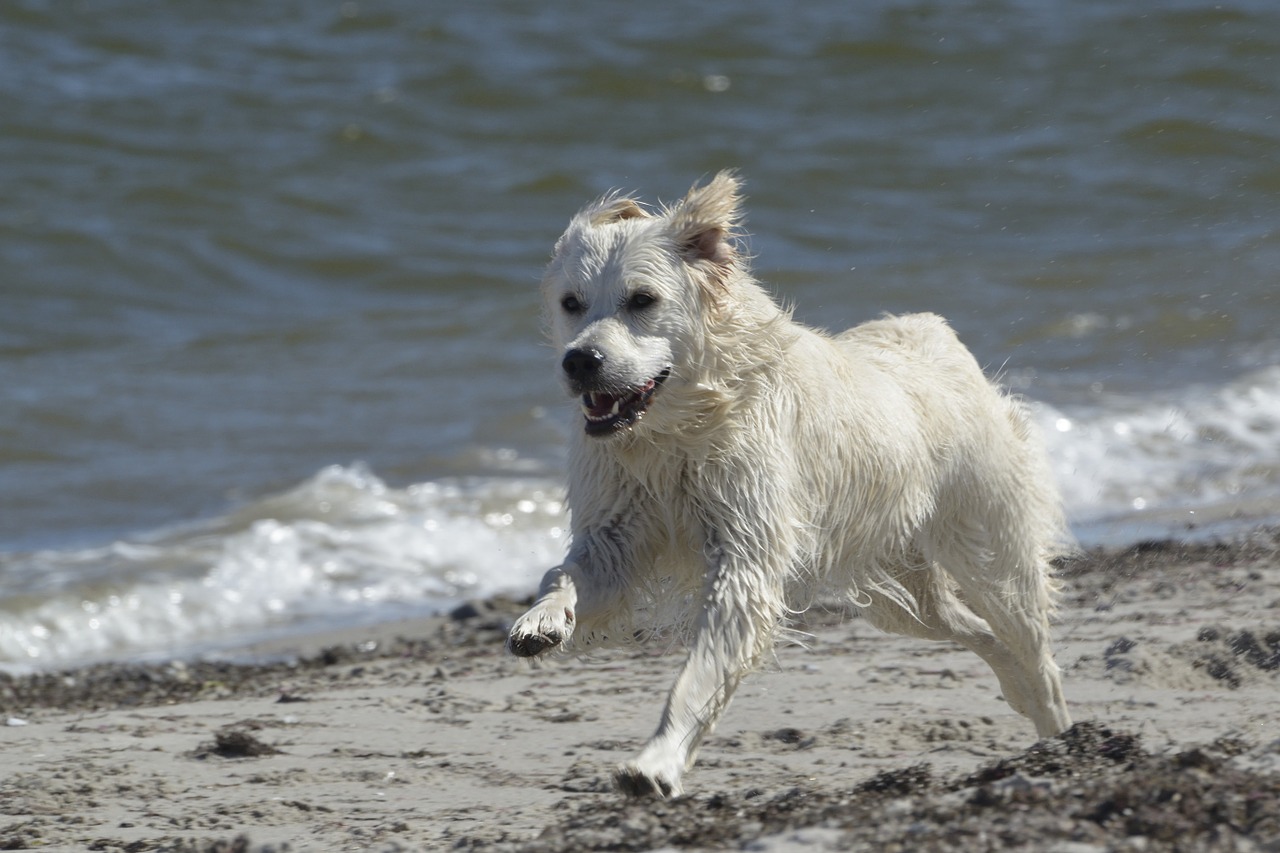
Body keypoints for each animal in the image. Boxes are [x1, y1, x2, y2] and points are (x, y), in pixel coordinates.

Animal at [504, 172, 1075, 799]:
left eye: (642, 300)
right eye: (571, 303)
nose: (580, 361)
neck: (677, 432)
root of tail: (937, 335)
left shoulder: (744, 560)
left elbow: (699, 673)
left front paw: (656, 762)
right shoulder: (616, 533)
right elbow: (566, 573)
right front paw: (542, 620)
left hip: (991, 555)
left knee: (1034, 647)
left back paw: (1060, 736)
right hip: (898, 597)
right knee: (977, 633)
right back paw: (1015, 687)